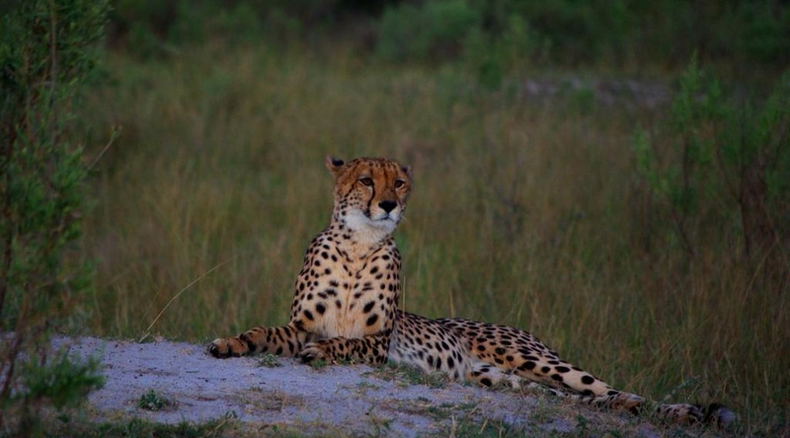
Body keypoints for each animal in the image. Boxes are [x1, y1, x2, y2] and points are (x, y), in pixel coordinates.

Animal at [208, 156, 734, 427]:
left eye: (400, 181)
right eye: (367, 180)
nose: (389, 203)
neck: (359, 244)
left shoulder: (377, 343)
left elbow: (346, 342)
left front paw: (323, 351)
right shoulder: (299, 324)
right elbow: (265, 332)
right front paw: (230, 342)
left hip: (536, 360)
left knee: (610, 389)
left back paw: (685, 412)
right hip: (505, 379)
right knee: (578, 400)